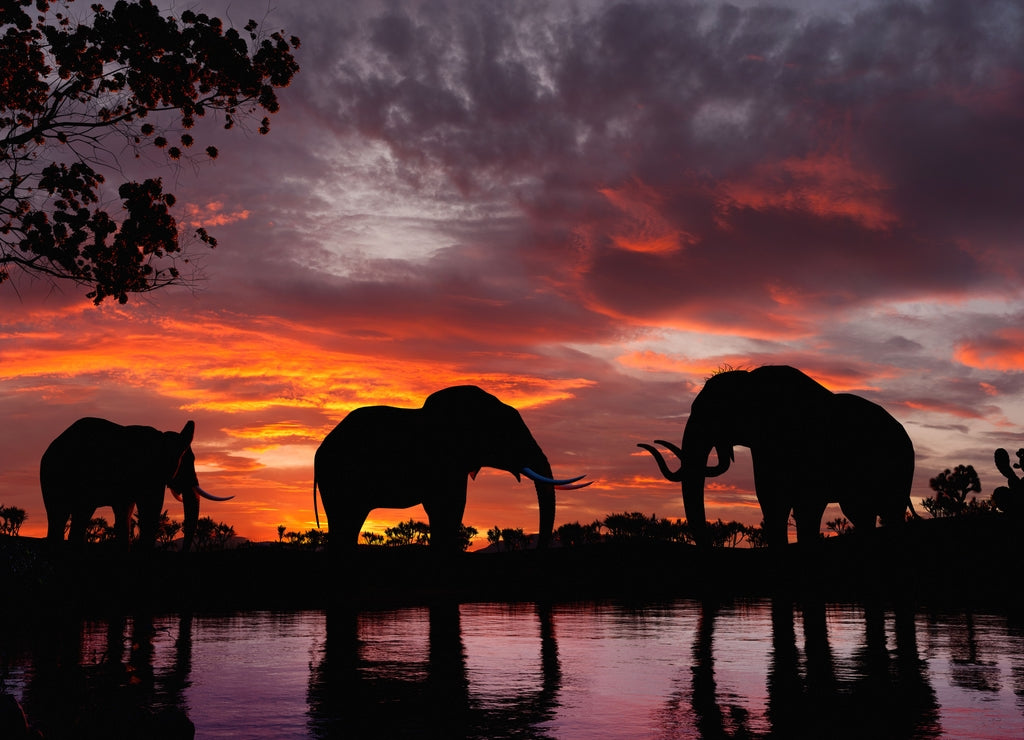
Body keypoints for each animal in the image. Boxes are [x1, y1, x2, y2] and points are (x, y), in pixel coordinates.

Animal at [40, 417, 232, 551]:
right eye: (188, 462)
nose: (184, 551)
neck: (162, 438)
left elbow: (125, 514)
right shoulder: (148, 474)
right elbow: (150, 512)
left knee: (66, 517)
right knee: (68, 514)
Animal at [313, 385, 590, 551]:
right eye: (506, 434)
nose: (540, 549)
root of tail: (318, 451)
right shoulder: (442, 461)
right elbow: (447, 507)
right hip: (338, 476)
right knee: (345, 520)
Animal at [638, 365, 915, 549]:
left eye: (715, 413)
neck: (750, 381)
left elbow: (807, 505)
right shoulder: (764, 448)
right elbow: (772, 501)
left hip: (900, 467)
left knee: (890, 514)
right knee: (862, 515)